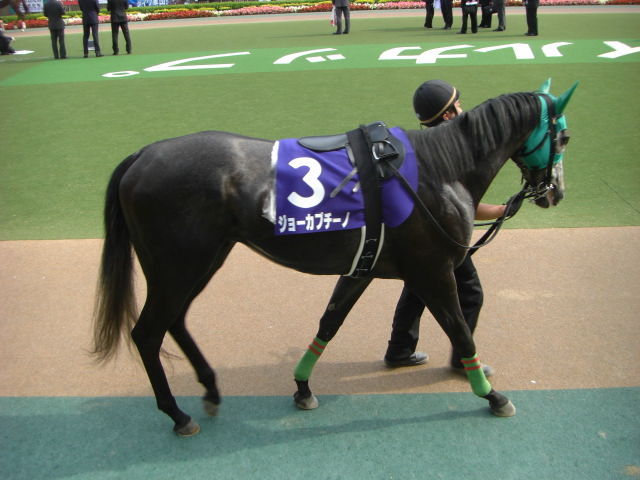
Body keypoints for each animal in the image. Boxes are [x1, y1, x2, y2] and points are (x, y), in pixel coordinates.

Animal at [92, 79, 577, 436]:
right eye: (566, 136)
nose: (555, 192)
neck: (440, 169)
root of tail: (142, 156)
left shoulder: (364, 266)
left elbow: (330, 321)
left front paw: (303, 387)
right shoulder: (434, 271)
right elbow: (461, 330)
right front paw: (492, 394)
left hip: (203, 261)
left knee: (174, 321)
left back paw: (210, 390)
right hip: (176, 265)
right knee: (147, 332)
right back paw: (178, 415)